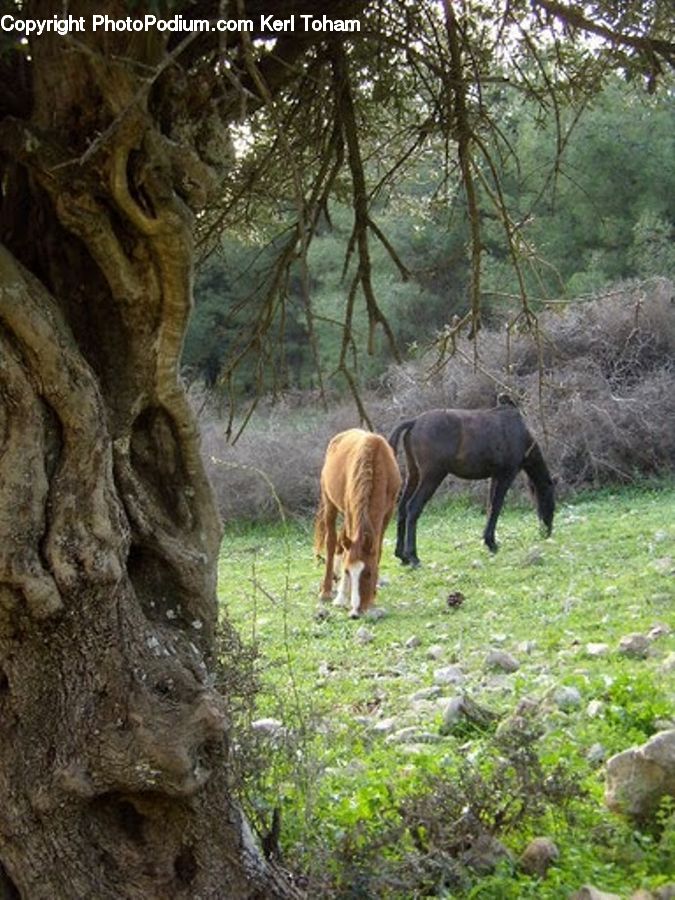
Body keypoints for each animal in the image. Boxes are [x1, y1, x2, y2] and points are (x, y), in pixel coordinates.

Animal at [316, 430, 404, 620]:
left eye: (369, 573)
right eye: (348, 572)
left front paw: (372, 598)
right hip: (330, 503)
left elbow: (377, 550)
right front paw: (342, 597)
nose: (356, 613)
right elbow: (345, 553)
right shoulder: (351, 511)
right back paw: (327, 590)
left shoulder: (387, 514)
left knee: (341, 543)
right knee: (332, 542)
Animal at [390, 404, 556, 568]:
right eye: (550, 500)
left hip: (414, 475)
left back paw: (402, 555)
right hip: (432, 476)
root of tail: (415, 422)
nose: (546, 532)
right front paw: (491, 543)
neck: (520, 434)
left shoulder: (495, 476)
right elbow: (496, 507)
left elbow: (491, 506)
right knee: (413, 507)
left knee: (402, 508)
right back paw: (413, 557)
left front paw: (489, 541)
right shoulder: (506, 475)